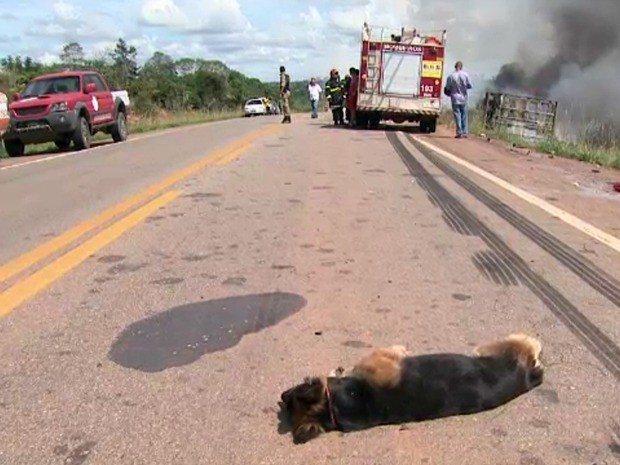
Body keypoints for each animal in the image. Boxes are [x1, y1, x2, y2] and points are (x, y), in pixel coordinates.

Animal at [280, 334, 544, 442]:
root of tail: (528, 378)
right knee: (533, 343)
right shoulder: (378, 358)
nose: (281, 396)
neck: (333, 407)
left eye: (290, 395)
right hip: (494, 346)